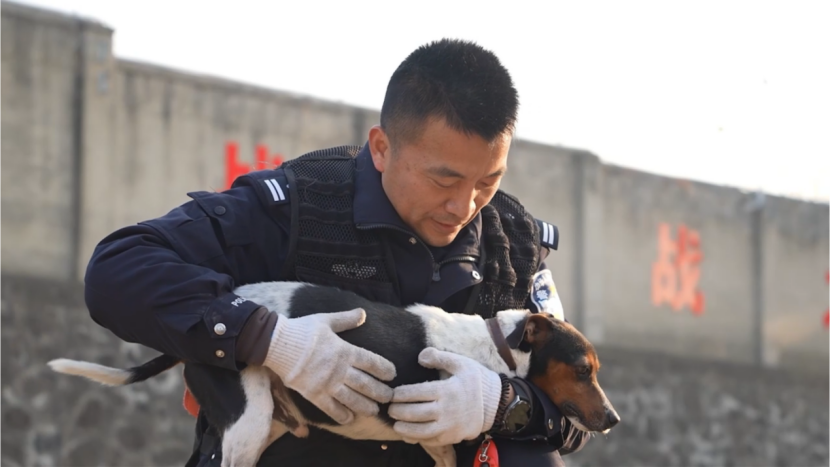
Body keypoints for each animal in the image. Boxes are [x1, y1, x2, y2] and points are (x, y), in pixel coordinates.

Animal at [49, 281, 619, 467]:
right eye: (583, 369)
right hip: (246, 422)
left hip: (269, 422)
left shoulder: (437, 443)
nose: (613, 419)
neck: (494, 350)